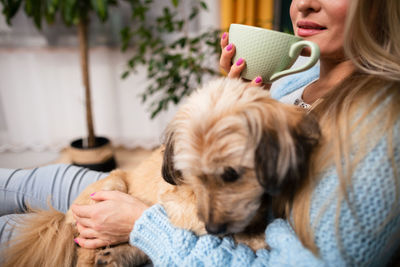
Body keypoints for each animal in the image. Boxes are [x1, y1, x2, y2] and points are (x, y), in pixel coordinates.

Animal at [1, 78, 320, 267]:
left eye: (231, 174)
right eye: (190, 174)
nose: (215, 227)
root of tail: (64, 215)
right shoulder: (176, 200)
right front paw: (253, 238)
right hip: (109, 188)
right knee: (84, 255)